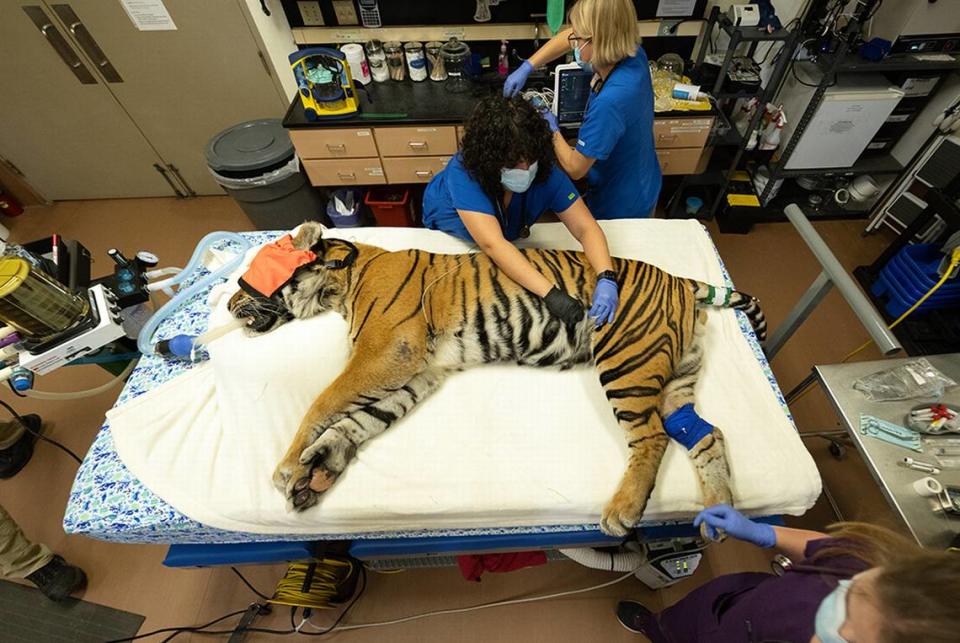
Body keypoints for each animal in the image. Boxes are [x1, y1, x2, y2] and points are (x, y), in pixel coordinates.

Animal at [227, 224, 764, 536]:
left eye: (249, 276)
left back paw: (622, 511)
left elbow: (324, 402)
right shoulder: (421, 370)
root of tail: (679, 280)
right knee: (708, 436)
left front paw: (287, 466)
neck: (343, 282)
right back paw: (720, 517)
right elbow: (359, 420)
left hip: (628, 361)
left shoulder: (389, 353)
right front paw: (318, 470)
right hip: (675, 378)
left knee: (651, 437)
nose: (229, 307)